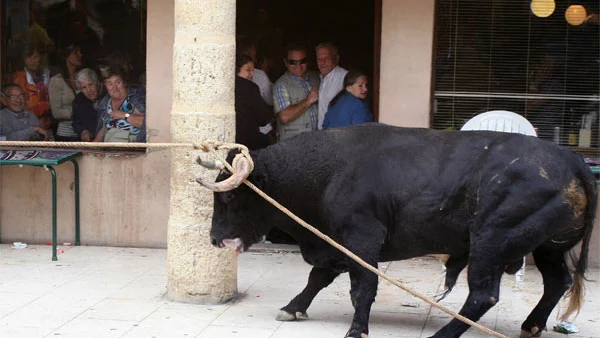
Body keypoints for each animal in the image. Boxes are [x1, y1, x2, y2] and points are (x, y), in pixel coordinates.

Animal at [196, 124, 596, 338]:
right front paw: (293, 308)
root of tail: (570, 159)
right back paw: (532, 324)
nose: (215, 239)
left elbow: (362, 289)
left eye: (229, 198)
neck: (326, 173)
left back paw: (444, 333)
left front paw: (356, 329)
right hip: (548, 248)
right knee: (556, 282)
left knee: (484, 295)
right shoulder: (335, 244)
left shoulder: (361, 240)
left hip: (491, 243)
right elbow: (317, 278)